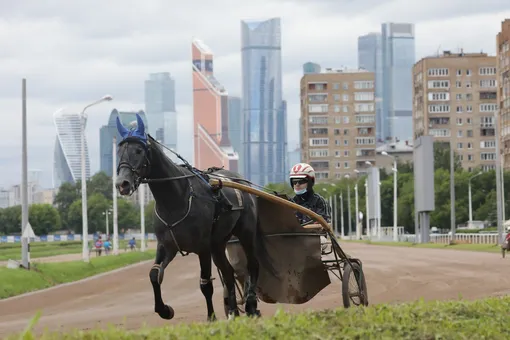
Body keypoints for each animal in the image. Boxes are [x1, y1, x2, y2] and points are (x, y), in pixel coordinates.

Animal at [114, 114, 276, 322]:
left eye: (138, 150)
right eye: (120, 151)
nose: (122, 184)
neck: (176, 199)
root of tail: (240, 181)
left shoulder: (202, 246)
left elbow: (205, 283)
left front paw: (211, 317)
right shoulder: (167, 245)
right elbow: (154, 275)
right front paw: (164, 310)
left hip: (245, 232)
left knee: (252, 265)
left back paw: (250, 305)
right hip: (218, 242)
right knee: (228, 272)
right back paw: (232, 311)